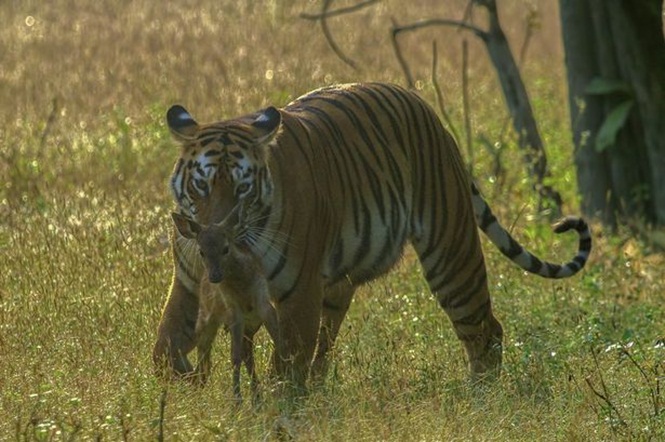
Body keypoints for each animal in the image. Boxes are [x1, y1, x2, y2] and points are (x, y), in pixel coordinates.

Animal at [171, 207, 278, 400]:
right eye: (201, 251)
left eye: (226, 248)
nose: (215, 276)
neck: (243, 290)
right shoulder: (233, 311)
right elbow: (234, 357)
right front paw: (237, 400)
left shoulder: (264, 303)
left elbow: (279, 339)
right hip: (206, 320)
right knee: (205, 353)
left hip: (249, 326)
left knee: (247, 354)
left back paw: (256, 396)